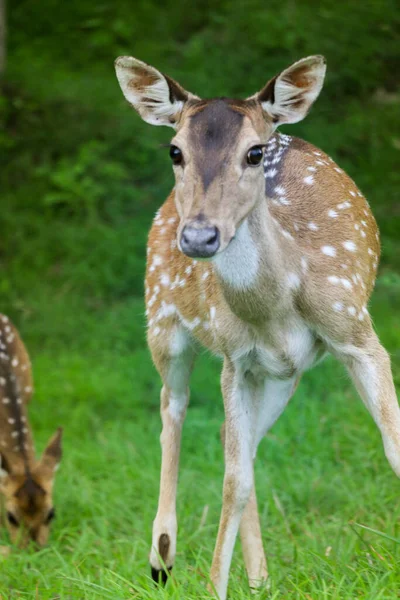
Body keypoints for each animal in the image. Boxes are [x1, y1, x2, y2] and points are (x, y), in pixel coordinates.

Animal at [115, 54, 400, 596]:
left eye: (254, 153)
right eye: (175, 150)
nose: (200, 236)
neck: (276, 308)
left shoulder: (357, 332)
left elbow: (393, 445)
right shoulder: (234, 357)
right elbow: (233, 481)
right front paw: (213, 588)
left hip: (284, 375)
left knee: (233, 441)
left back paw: (260, 578)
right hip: (161, 318)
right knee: (173, 408)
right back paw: (162, 554)